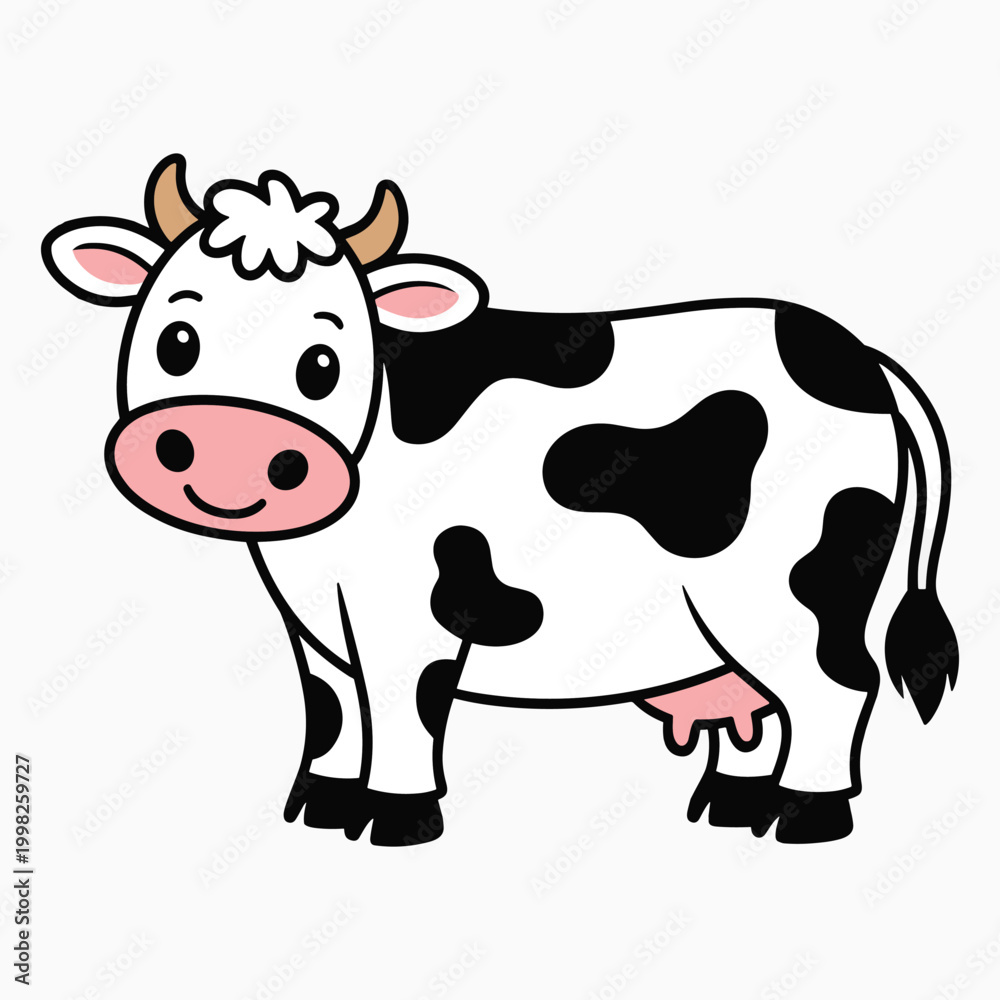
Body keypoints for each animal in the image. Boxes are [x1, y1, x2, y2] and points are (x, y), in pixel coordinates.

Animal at [42, 155, 959, 847]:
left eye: (322, 362)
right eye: (176, 340)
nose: (231, 443)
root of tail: (858, 355)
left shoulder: (407, 608)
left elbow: (403, 711)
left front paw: (394, 824)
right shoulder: (314, 619)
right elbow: (332, 711)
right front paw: (320, 810)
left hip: (799, 588)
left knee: (839, 687)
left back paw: (801, 819)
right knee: (761, 702)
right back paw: (730, 810)